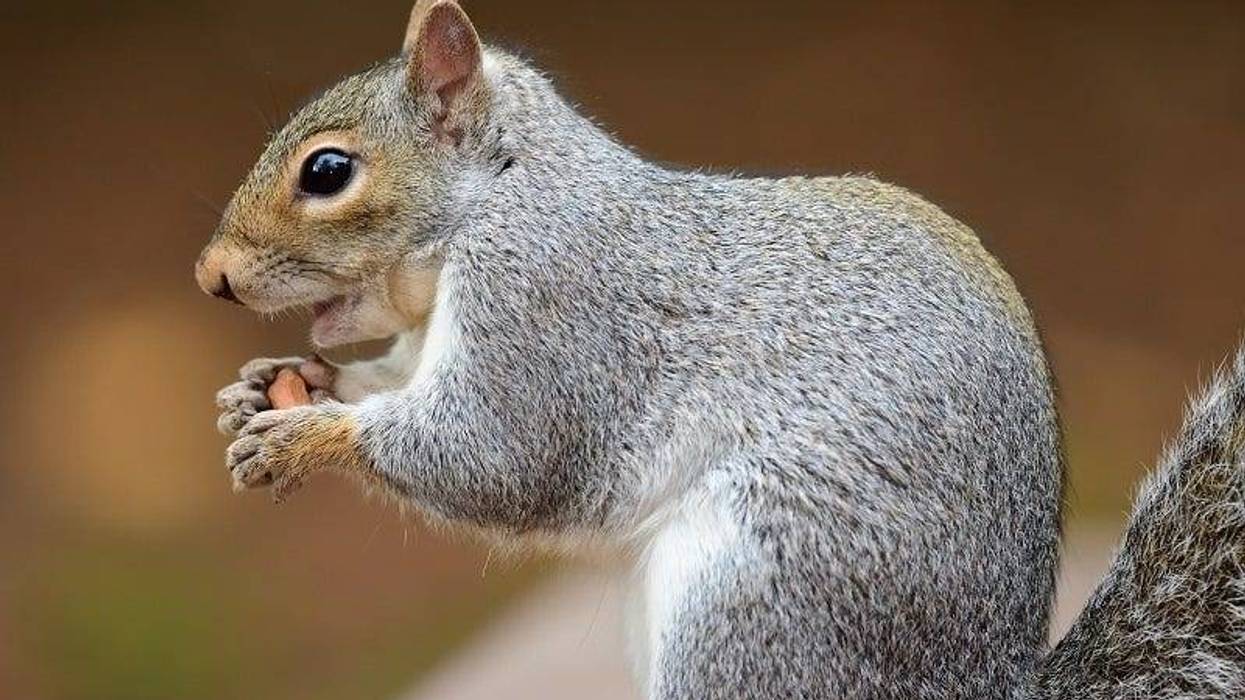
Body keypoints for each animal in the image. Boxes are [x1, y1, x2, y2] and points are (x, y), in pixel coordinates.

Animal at [194, 2, 1245, 698]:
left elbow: (495, 455)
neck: (503, 193)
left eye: (329, 171)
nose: (211, 275)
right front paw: (278, 388)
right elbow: (394, 381)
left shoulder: (549, 306)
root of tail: (980, 683)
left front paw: (309, 437)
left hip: (752, 599)